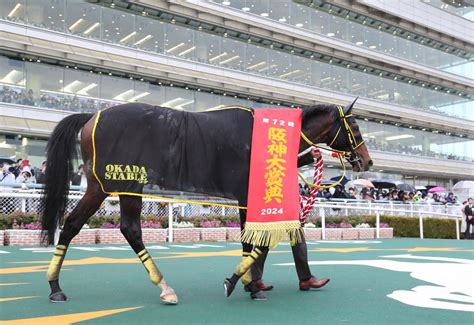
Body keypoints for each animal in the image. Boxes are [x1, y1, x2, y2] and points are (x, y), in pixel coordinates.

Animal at [40, 99, 372, 304]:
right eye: (355, 128)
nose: (367, 161)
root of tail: (91, 117)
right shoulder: (246, 196)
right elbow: (256, 242)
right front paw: (246, 284)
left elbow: (261, 240)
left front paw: (255, 282)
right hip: (113, 184)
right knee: (101, 226)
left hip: (117, 187)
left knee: (99, 226)